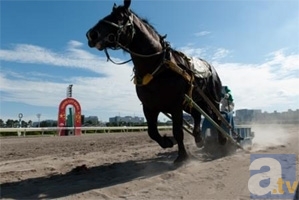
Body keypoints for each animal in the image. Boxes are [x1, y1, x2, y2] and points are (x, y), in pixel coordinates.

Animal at [85, 0, 226, 162]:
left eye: (119, 17)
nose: (92, 34)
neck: (159, 66)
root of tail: (211, 68)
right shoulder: (150, 106)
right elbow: (152, 132)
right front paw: (167, 141)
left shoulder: (175, 104)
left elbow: (178, 131)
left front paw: (182, 157)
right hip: (193, 101)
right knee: (197, 115)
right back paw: (199, 139)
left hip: (212, 98)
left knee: (217, 117)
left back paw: (222, 140)